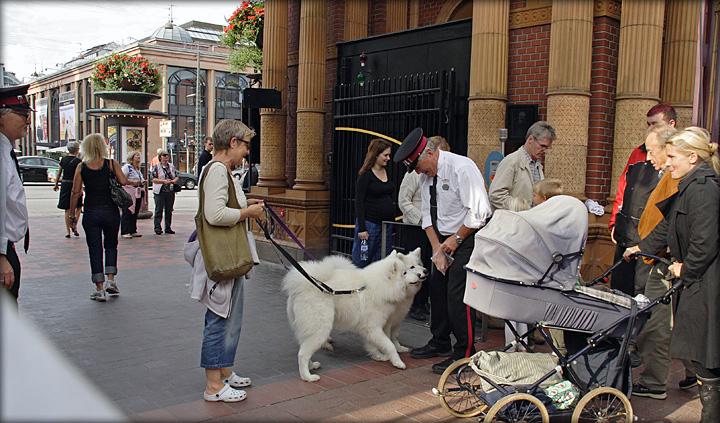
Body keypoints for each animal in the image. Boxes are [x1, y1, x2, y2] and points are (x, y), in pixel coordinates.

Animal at [282, 250, 428, 382]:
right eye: (405, 272)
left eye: (414, 267)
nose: (421, 273)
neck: (381, 286)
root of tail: (301, 287)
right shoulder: (374, 327)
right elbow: (390, 344)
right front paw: (398, 362)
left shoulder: (371, 328)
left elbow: (373, 344)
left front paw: (378, 356)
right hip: (320, 330)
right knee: (302, 354)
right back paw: (308, 377)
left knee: (304, 349)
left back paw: (312, 366)